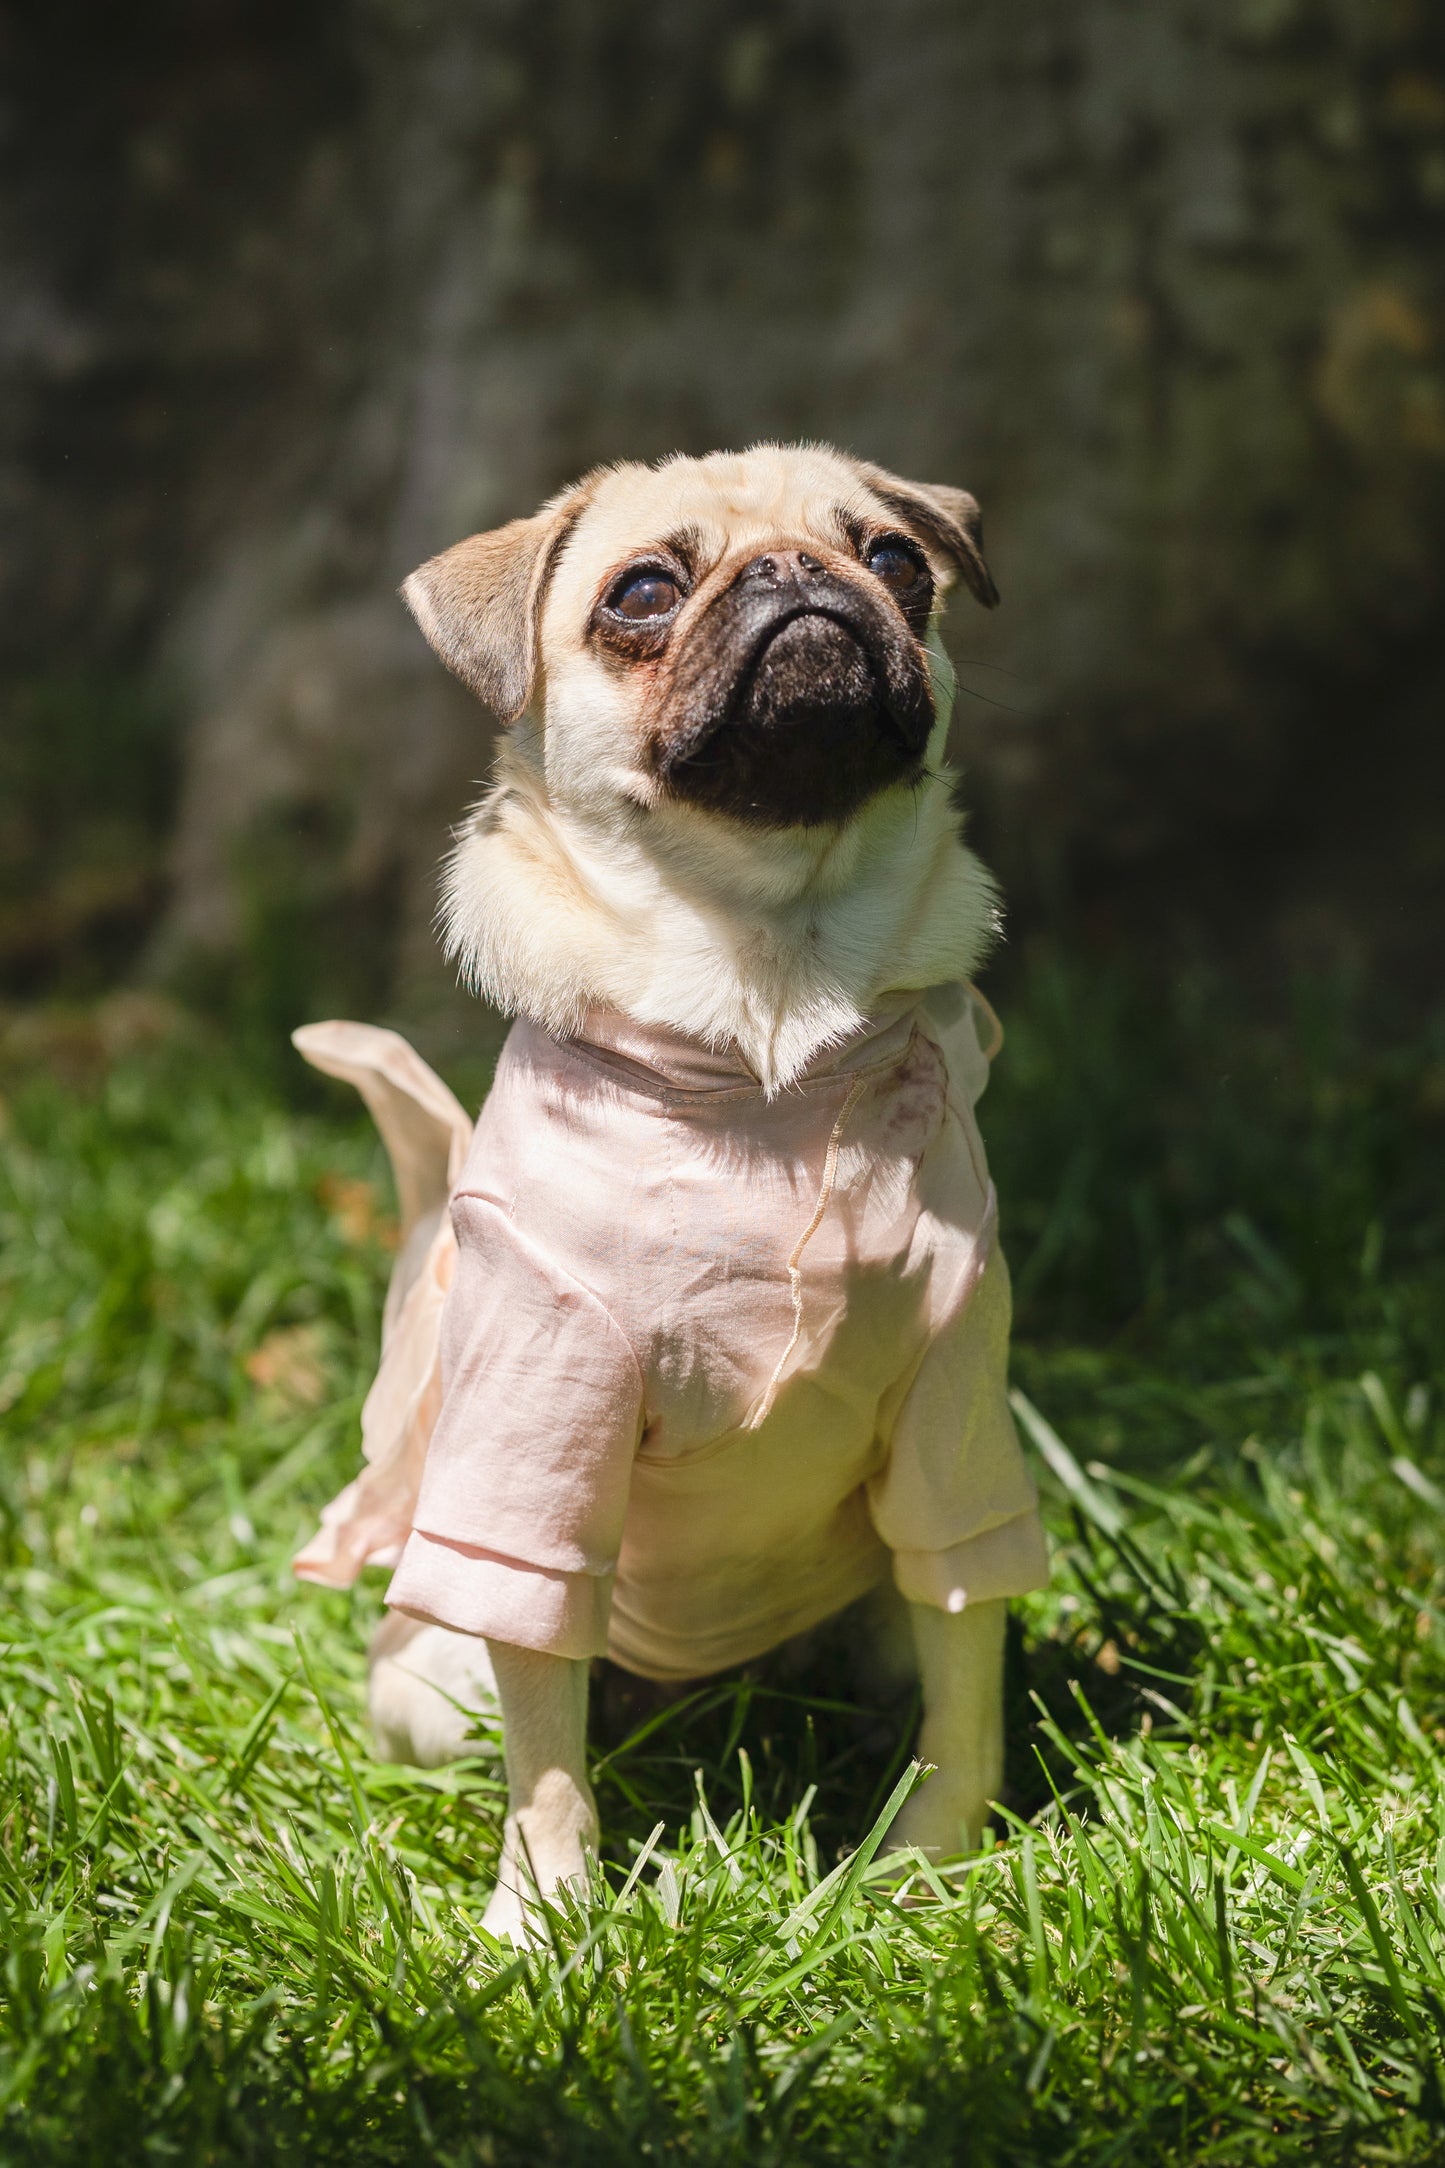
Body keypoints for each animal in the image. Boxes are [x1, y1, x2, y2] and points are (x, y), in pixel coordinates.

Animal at [288, 444, 1044, 1951]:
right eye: (641, 592)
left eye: (897, 560)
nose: (797, 573)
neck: (768, 1022)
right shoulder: (542, 1409)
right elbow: (545, 1750)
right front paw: (543, 1919)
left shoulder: (952, 1397)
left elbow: (965, 1660)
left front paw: (931, 1856)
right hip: (432, 1682)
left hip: (861, 1620)